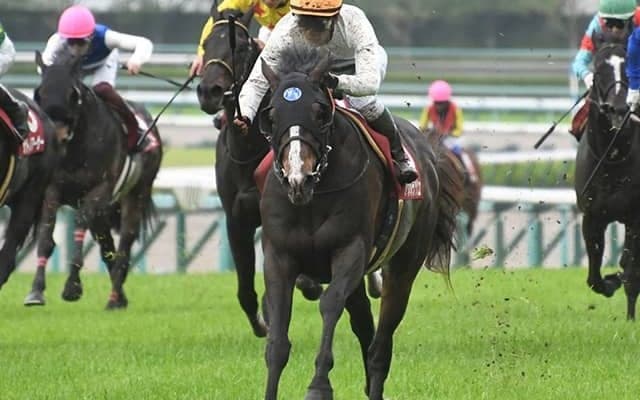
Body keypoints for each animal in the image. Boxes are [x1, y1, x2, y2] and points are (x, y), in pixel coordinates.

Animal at [23, 49, 162, 309]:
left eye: (73, 94)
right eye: (38, 93)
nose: (57, 136)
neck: (74, 151)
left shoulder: (98, 189)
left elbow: (79, 225)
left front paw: (72, 287)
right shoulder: (52, 189)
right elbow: (45, 238)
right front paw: (35, 291)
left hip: (136, 193)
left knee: (125, 243)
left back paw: (114, 297)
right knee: (108, 245)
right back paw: (120, 297)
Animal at [197, 8, 324, 337]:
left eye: (240, 47)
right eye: (206, 44)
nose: (209, 91)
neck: (247, 153)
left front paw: (307, 284)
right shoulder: (236, 219)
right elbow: (245, 289)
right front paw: (262, 322)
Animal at [257, 45, 463, 400]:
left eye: (320, 112)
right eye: (272, 115)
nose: (298, 177)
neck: (313, 197)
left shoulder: (350, 250)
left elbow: (329, 305)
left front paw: (319, 386)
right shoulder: (278, 257)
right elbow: (278, 338)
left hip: (403, 266)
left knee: (381, 342)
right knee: (364, 325)